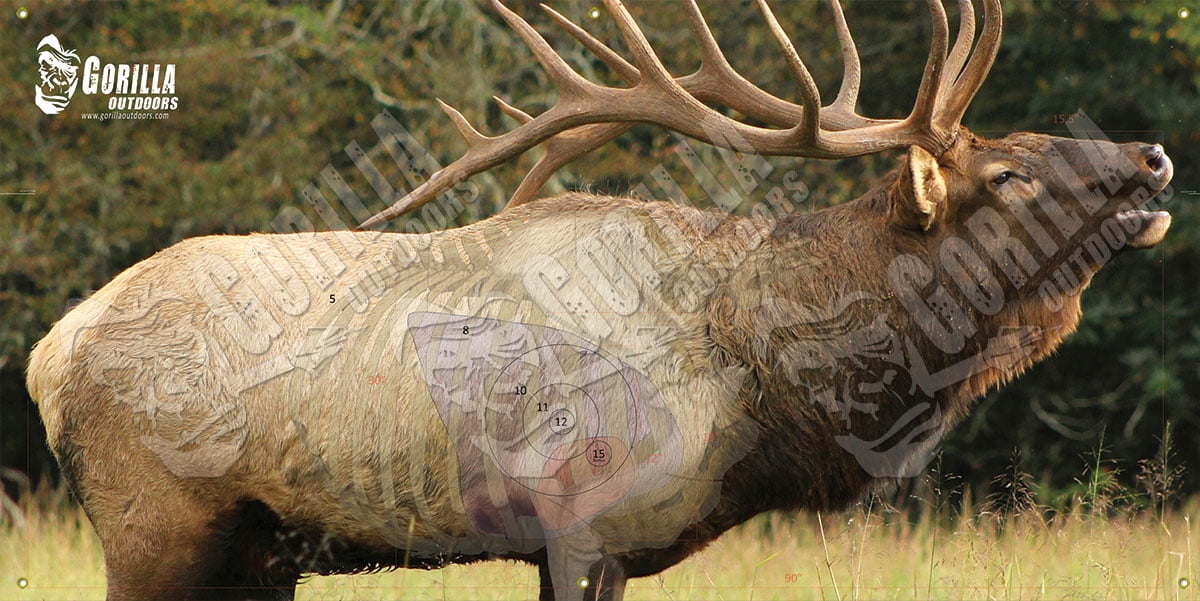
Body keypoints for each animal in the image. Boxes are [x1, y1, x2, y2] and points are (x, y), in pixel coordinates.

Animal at [25, 0, 1174, 600]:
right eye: (1010, 172)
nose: (1154, 156)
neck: (764, 389)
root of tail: (49, 352)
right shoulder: (583, 518)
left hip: (260, 547)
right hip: (153, 521)